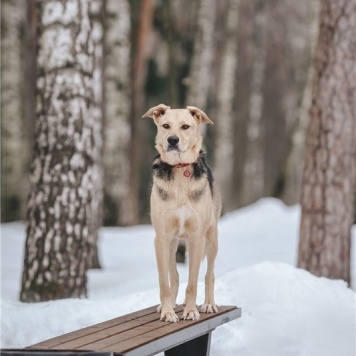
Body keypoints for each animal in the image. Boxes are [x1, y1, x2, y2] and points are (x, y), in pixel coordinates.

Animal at [143, 103, 221, 322]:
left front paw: (191, 310)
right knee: (175, 277)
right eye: (165, 126)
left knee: (209, 274)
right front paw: (168, 311)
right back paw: (168, 305)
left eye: (185, 126)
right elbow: (165, 282)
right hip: (171, 243)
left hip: (212, 238)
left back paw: (208, 304)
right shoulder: (161, 238)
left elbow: (193, 282)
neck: (179, 169)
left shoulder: (197, 237)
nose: (172, 140)